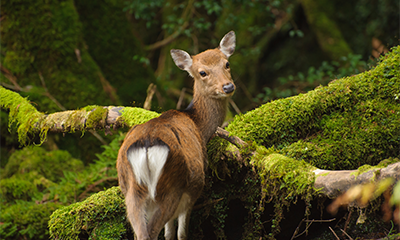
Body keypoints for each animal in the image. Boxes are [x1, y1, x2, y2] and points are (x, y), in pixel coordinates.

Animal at [115, 31, 234, 239]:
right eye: (202, 72)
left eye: (226, 63)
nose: (227, 87)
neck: (198, 124)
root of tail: (147, 145)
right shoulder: (194, 188)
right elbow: (180, 234)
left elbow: (169, 233)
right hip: (172, 185)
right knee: (152, 232)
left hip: (131, 190)